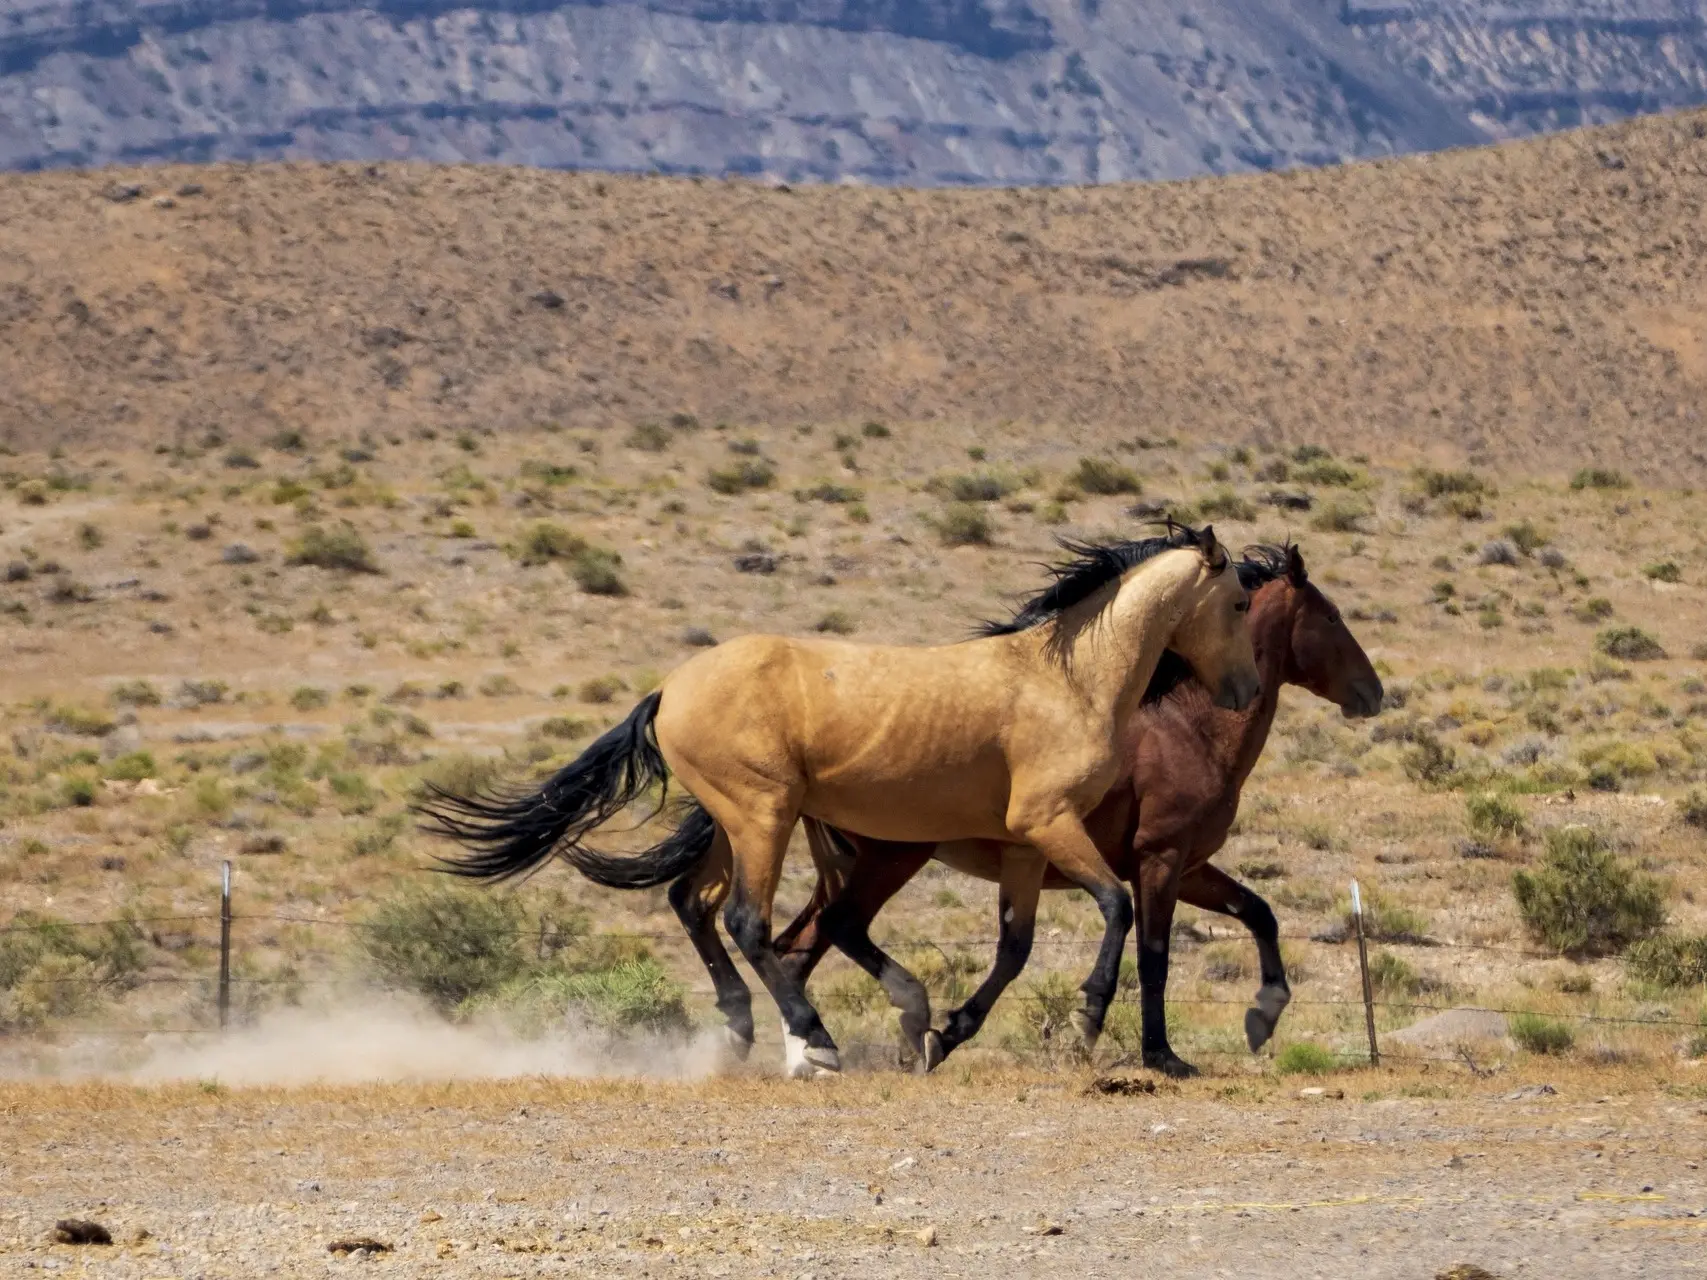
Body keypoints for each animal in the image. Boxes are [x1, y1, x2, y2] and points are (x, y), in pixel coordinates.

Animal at [774, 546, 1386, 1078]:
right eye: (1332, 617)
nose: (1374, 693)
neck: (1189, 727)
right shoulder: (1159, 860)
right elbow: (1154, 955)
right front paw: (1153, 1051)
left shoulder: (1185, 867)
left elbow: (1259, 912)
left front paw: (1263, 1014)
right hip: (892, 859)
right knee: (833, 930)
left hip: (851, 868)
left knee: (796, 949)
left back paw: (814, 1054)